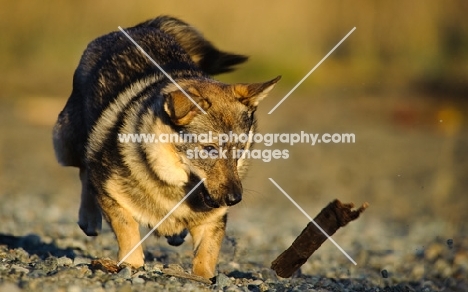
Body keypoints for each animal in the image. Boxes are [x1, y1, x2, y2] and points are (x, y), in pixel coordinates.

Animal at [53, 15, 280, 278]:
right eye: (210, 149)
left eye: (240, 151)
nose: (234, 199)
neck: (173, 185)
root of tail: (143, 26)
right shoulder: (109, 190)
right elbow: (127, 228)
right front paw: (132, 264)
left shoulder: (213, 219)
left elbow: (208, 252)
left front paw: (204, 277)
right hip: (68, 141)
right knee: (83, 170)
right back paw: (89, 218)